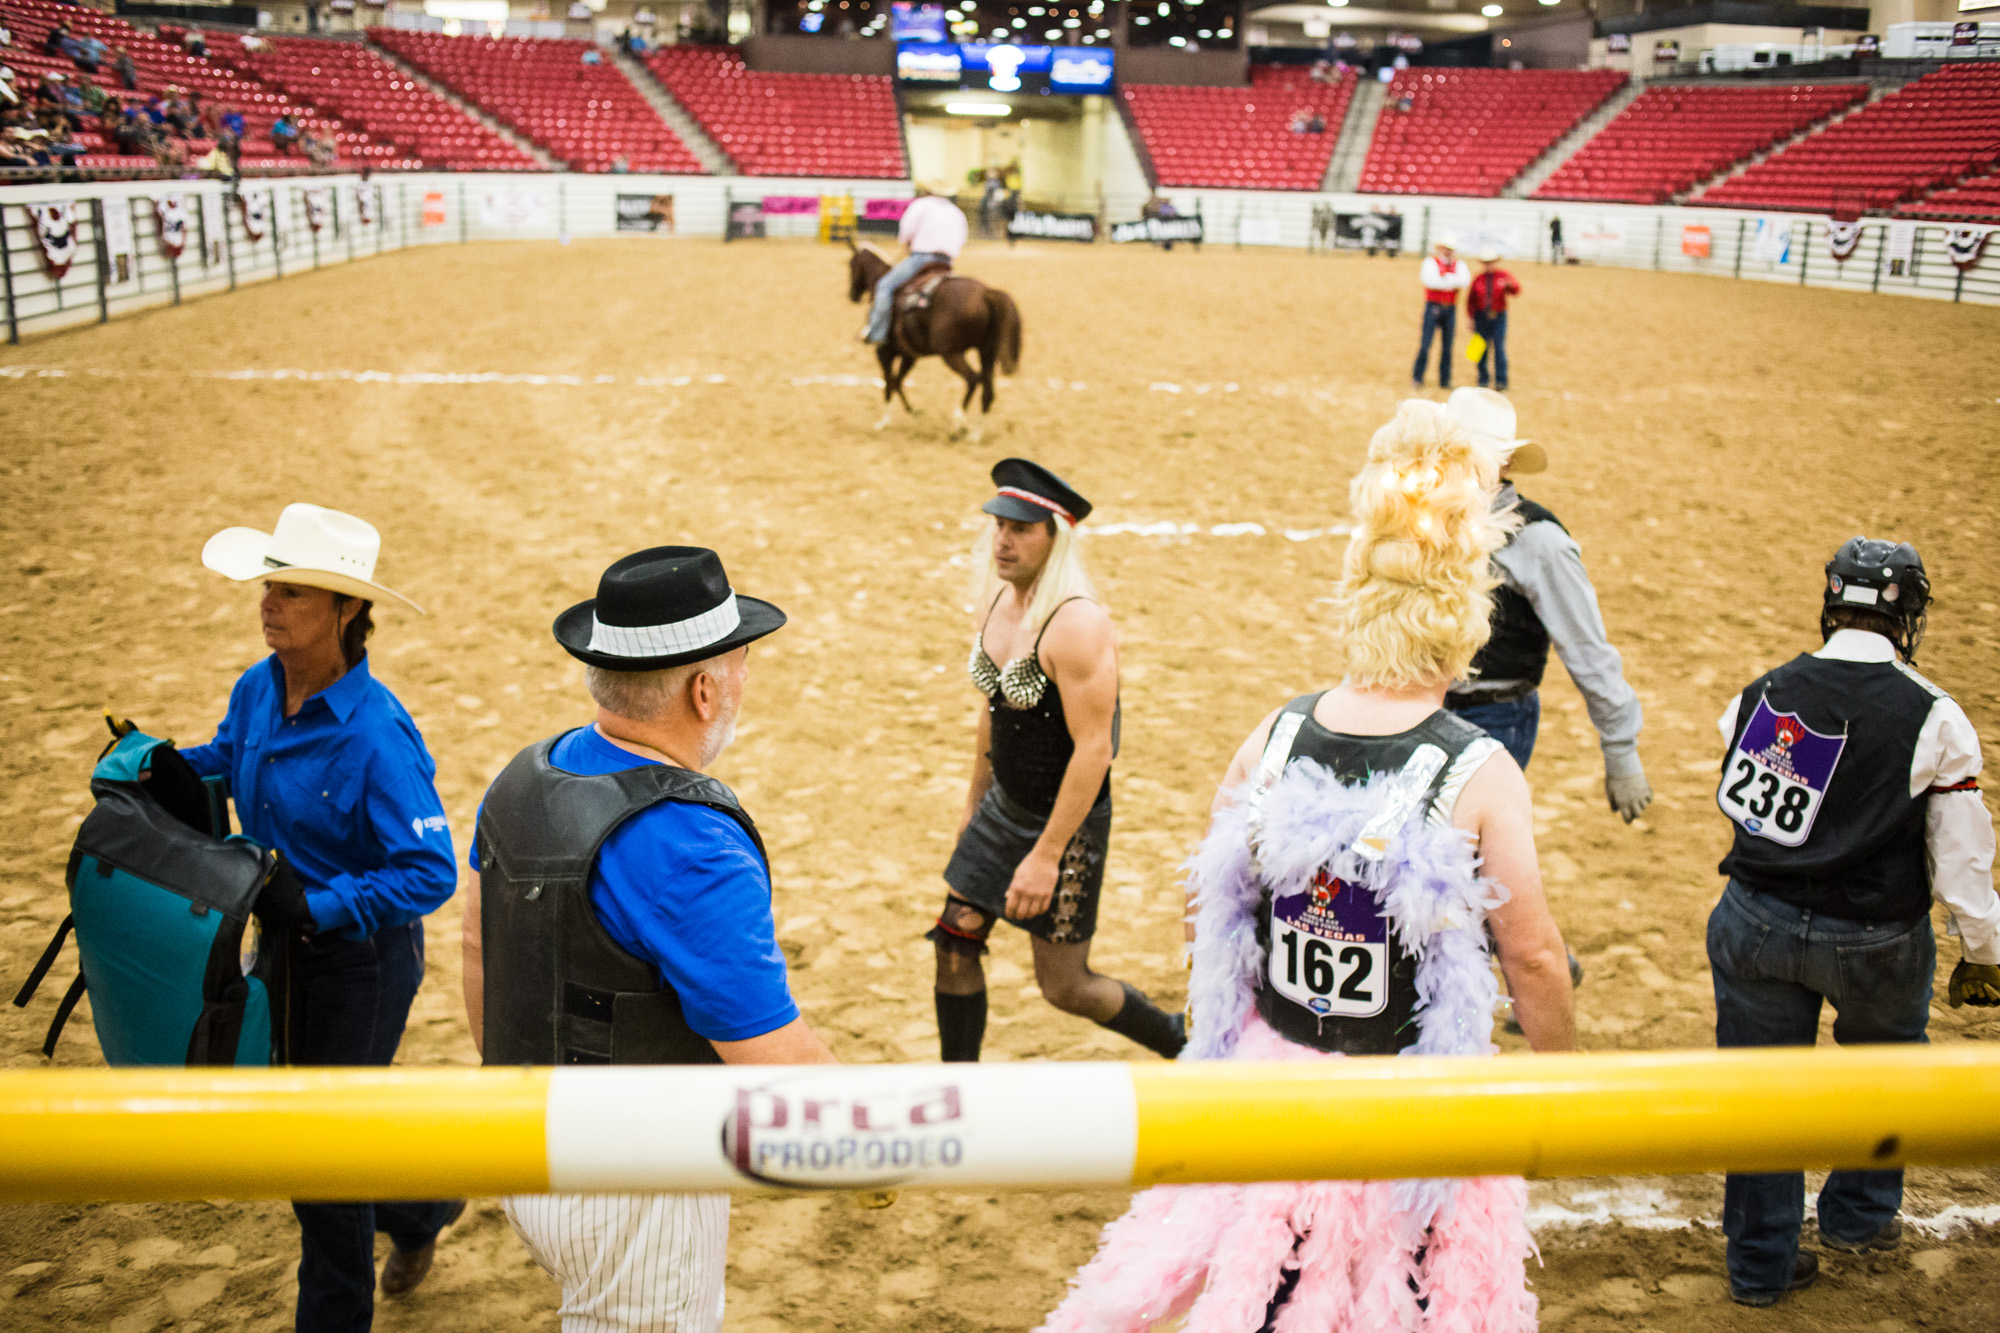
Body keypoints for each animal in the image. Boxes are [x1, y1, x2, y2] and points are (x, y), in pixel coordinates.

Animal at [848, 240, 1024, 440]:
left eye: (851, 264)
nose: (851, 295)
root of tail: (985, 292)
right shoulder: (909, 356)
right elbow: (897, 381)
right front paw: (913, 411)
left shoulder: (884, 352)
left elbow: (888, 383)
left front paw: (883, 422)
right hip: (987, 352)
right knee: (988, 391)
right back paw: (975, 435)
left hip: (951, 354)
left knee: (973, 379)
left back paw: (958, 424)